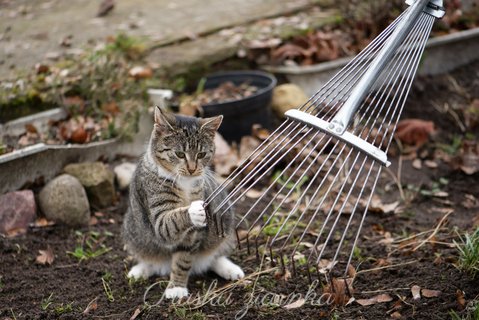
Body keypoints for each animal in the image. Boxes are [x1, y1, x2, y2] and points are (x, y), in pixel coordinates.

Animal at [124, 106, 244, 298]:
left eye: (201, 154)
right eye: (179, 154)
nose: (192, 169)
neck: (184, 183)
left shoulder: (193, 235)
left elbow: (183, 259)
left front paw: (177, 286)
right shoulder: (158, 214)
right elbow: (169, 222)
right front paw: (194, 210)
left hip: (225, 220)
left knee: (213, 257)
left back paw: (230, 269)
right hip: (133, 233)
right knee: (149, 259)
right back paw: (140, 270)